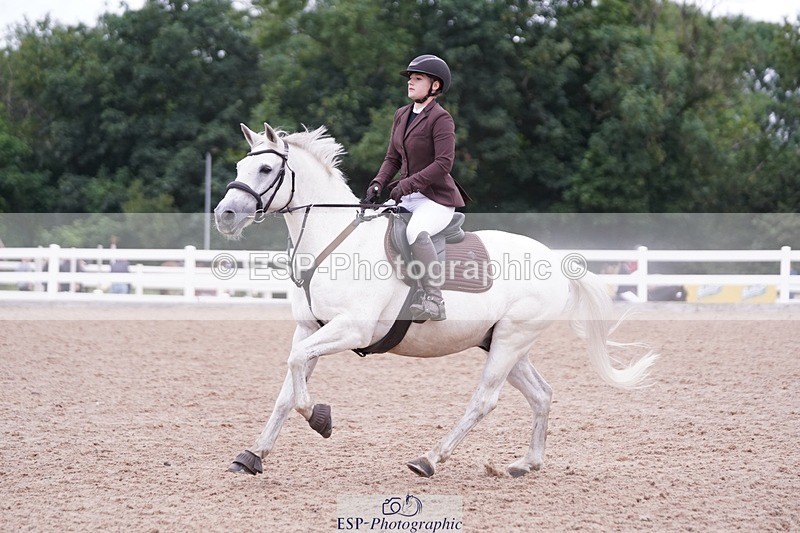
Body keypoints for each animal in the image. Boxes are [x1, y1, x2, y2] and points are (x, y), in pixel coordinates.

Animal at [213, 122, 658, 478]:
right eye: (238, 168)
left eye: (265, 169)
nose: (225, 215)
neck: (334, 241)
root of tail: (556, 259)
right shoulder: (309, 328)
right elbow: (287, 387)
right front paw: (253, 455)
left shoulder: (352, 329)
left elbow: (296, 375)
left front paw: (320, 419)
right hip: (502, 343)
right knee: (541, 394)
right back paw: (524, 463)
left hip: (512, 339)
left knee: (485, 400)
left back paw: (428, 459)